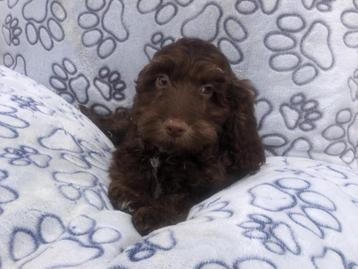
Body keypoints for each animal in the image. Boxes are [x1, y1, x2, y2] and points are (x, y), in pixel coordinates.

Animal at [82, 37, 266, 234]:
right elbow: (131, 164)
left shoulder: (208, 184)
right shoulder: (136, 141)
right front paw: (130, 194)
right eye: (162, 80)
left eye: (207, 90)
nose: (174, 128)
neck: (169, 154)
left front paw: (154, 214)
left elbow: (181, 197)